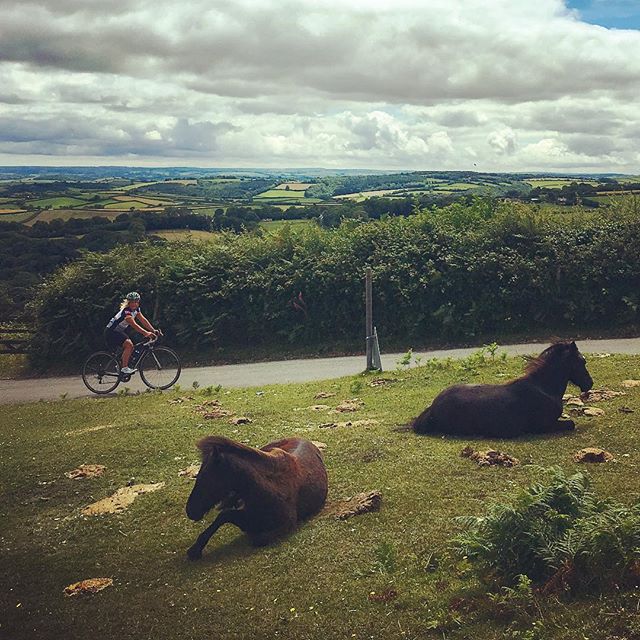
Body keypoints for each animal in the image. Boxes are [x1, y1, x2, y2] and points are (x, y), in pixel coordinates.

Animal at [184, 436, 324, 560]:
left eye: (208, 479)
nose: (190, 510)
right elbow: (223, 516)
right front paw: (195, 549)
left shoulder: (287, 524)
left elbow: (257, 538)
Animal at [412, 340, 592, 440]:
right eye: (582, 361)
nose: (589, 383)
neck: (543, 388)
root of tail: (433, 407)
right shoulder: (544, 426)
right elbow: (571, 424)